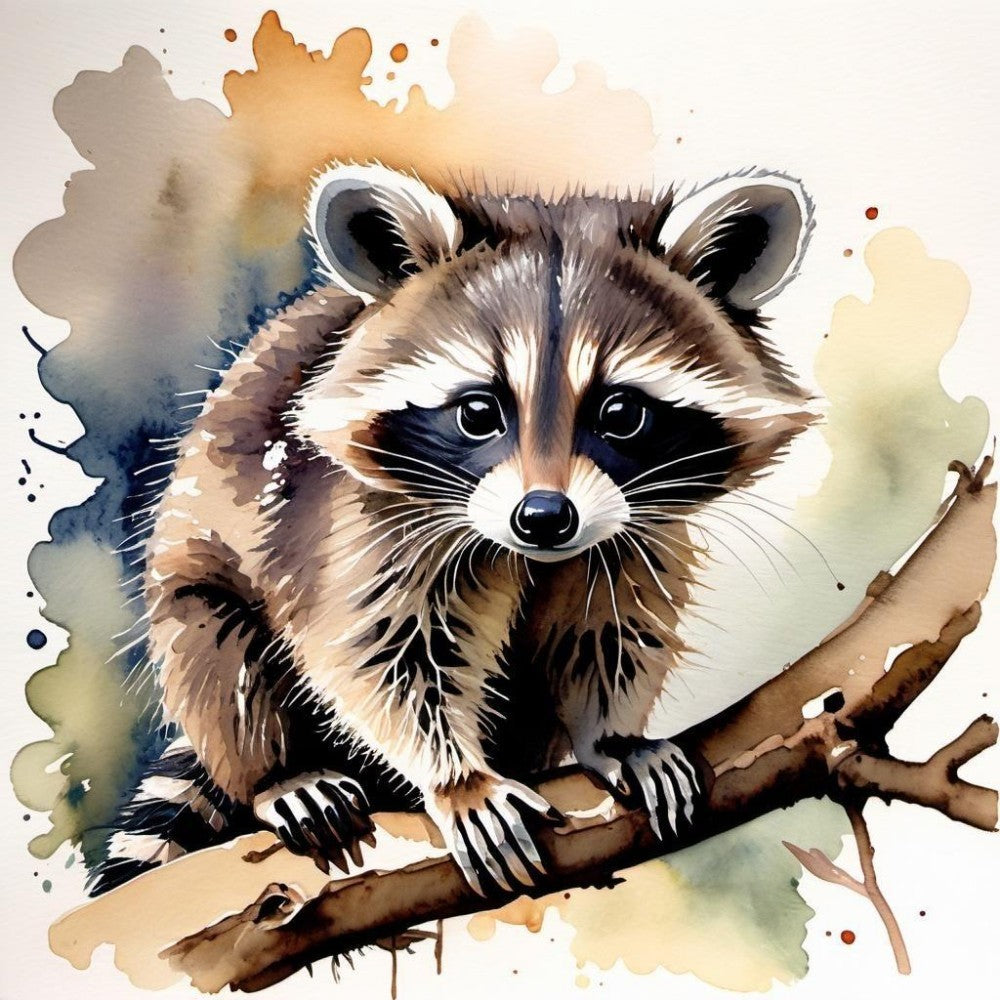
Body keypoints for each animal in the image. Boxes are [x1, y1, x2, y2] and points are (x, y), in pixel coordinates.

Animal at [93, 163, 815, 896]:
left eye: (621, 413)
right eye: (477, 412)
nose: (544, 517)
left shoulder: (634, 531)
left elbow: (611, 630)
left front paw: (612, 735)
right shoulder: (344, 520)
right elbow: (378, 650)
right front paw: (457, 776)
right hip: (193, 577)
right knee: (217, 653)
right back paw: (278, 772)